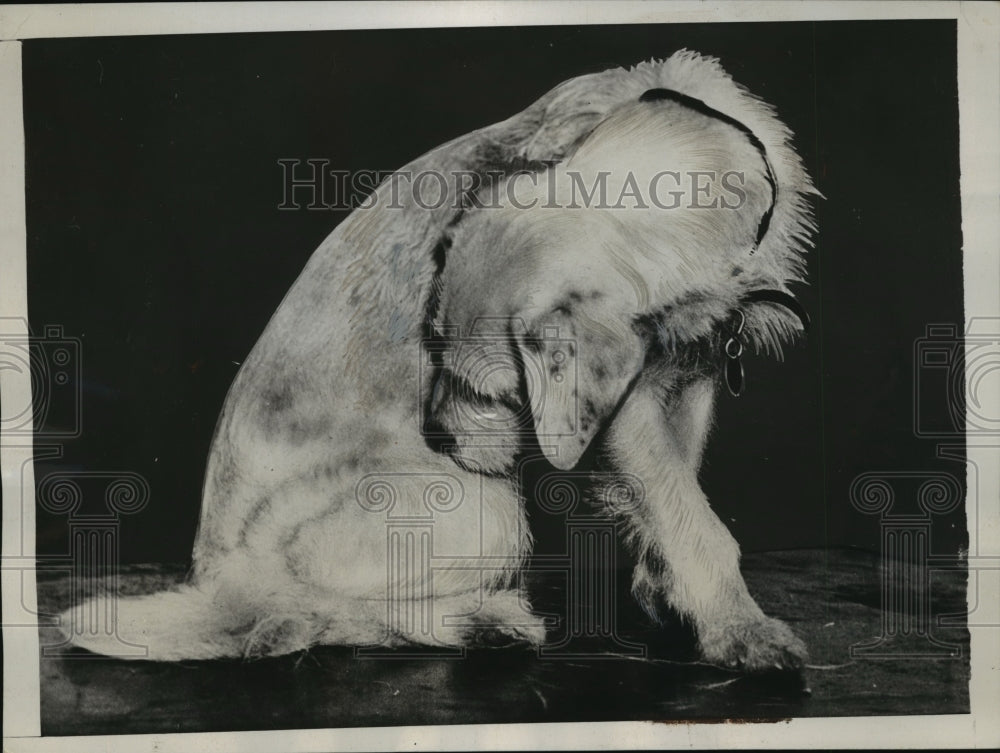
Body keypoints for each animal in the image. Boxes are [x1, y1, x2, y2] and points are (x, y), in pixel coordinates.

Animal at [60, 51, 812, 668]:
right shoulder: (626, 413)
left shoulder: (687, 375)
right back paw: (486, 621)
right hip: (484, 513)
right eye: (437, 354)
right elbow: (690, 515)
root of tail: (216, 578)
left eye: (495, 393)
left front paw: (671, 590)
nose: (438, 437)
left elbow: (675, 494)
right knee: (302, 616)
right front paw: (741, 629)